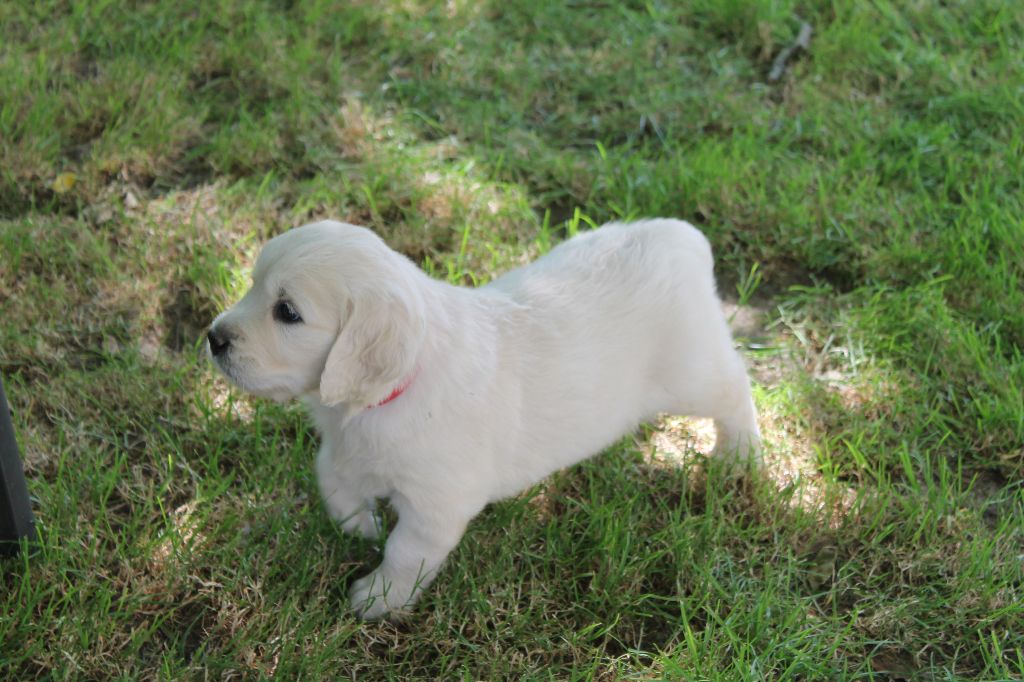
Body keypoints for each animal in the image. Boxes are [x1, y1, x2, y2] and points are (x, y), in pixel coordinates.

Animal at [207, 218, 757, 614]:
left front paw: (378, 598)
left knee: (736, 389)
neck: (393, 390)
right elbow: (332, 480)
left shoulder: (436, 504)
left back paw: (740, 456)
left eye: (287, 312)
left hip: (690, 373)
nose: (213, 338)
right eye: (253, 286)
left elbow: (405, 552)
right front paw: (359, 527)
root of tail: (681, 238)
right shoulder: (346, 449)